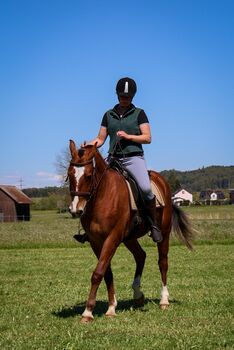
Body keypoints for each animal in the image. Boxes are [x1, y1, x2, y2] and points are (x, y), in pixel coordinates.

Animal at [67, 139, 192, 322]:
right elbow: (106, 272)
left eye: (89, 175)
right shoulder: (96, 242)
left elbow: (98, 272)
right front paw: (111, 307)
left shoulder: (112, 238)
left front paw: (88, 312)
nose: (76, 210)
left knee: (163, 262)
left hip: (164, 233)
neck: (103, 196)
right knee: (141, 256)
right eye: (69, 174)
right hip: (129, 238)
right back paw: (138, 295)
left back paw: (164, 300)